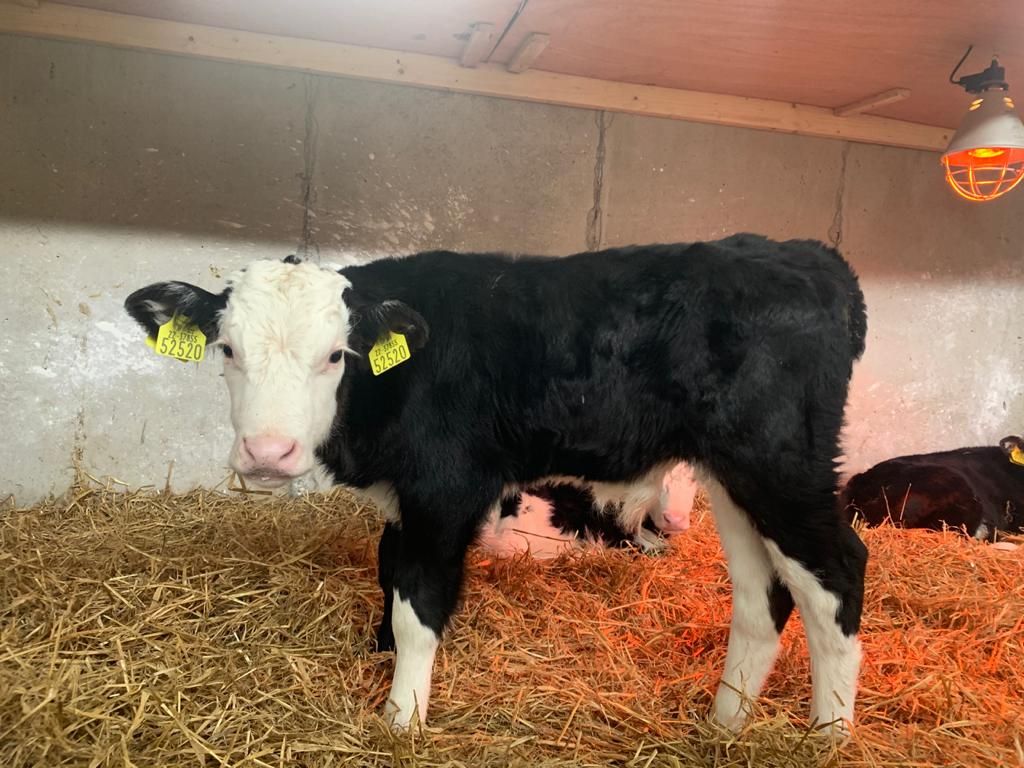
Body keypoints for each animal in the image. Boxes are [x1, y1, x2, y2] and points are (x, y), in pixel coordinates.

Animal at [123, 234, 868, 735]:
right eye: (227, 349)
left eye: (336, 355)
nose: (268, 453)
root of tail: (804, 253)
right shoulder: (403, 501)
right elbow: (388, 580)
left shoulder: (445, 490)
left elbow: (417, 608)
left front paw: (402, 721)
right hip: (735, 475)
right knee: (764, 596)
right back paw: (725, 726)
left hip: (780, 461)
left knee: (837, 573)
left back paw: (826, 737)